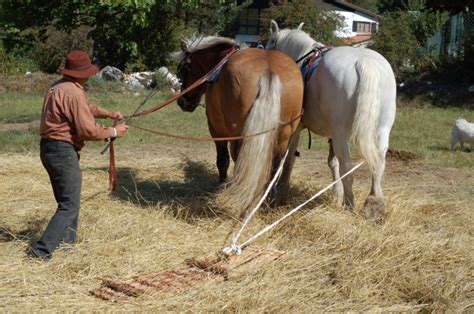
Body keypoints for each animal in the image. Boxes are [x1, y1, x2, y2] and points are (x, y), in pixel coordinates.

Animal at [174, 36, 304, 213]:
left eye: (183, 69)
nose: (182, 102)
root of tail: (269, 71)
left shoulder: (216, 130)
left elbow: (222, 161)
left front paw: (221, 186)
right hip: (284, 133)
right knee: (275, 166)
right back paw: (267, 201)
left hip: (238, 134)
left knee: (238, 161)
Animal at [266, 20, 396, 222]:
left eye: (270, 44)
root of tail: (365, 62)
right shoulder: (331, 135)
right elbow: (332, 162)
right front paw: (337, 194)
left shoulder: (297, 127)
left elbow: (288, 160)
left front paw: (281, 191)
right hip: (382, 128)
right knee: (378, 163)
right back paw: (374, 204)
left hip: (341, 132)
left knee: (347, 165)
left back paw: (350, 205)